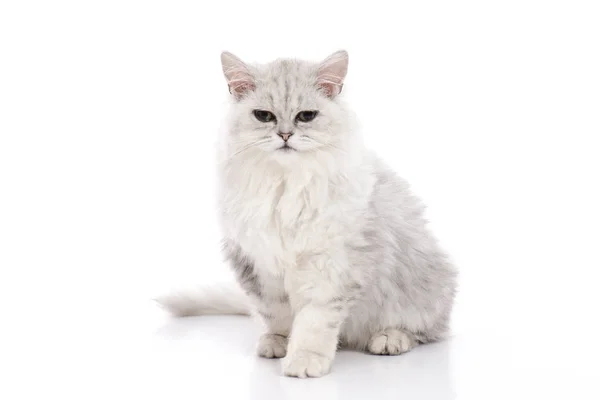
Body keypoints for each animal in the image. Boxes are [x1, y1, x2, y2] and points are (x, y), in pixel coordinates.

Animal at [157, 50, 458, 378]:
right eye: (264, 116)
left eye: (306, 116)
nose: (285, 134)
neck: (285, 184)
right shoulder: (259, 265)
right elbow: (275, 312)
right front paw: (278, 343)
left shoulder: (330, 266)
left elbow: (314, 322)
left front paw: (304, 361)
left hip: (422, 292)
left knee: (425, 331)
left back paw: (390, 339)